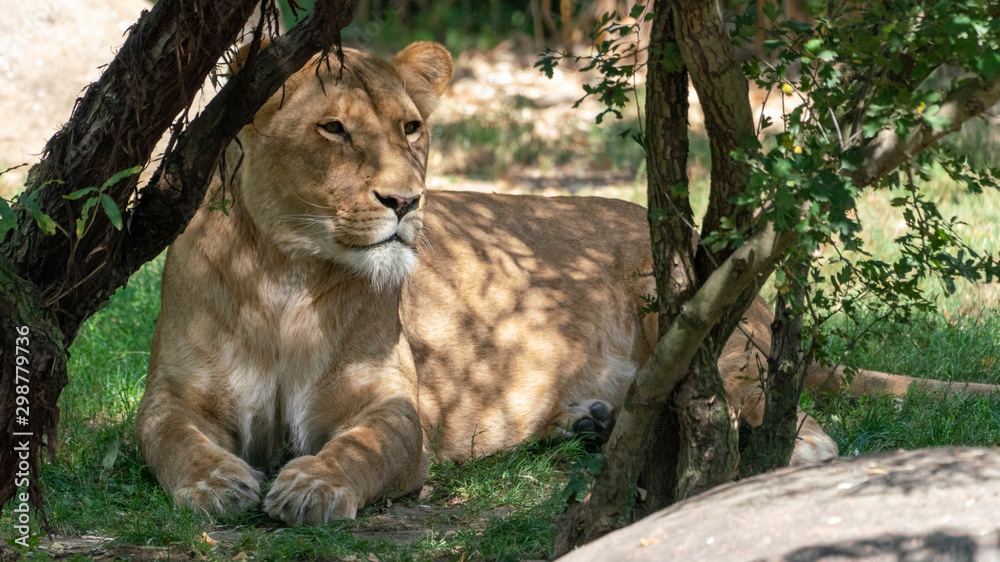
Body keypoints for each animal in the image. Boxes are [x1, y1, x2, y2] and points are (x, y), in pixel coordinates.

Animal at [136, 41, 1000, 525]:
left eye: (411, 127)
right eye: (333, 129)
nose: (406, 202)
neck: (286, 271)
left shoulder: (393, 406)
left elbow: (364, 447)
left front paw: (312, 485)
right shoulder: (172, 395)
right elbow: (168, 439)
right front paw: (217, 484)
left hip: (681, 303)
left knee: (795, 421)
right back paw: (596, 424)